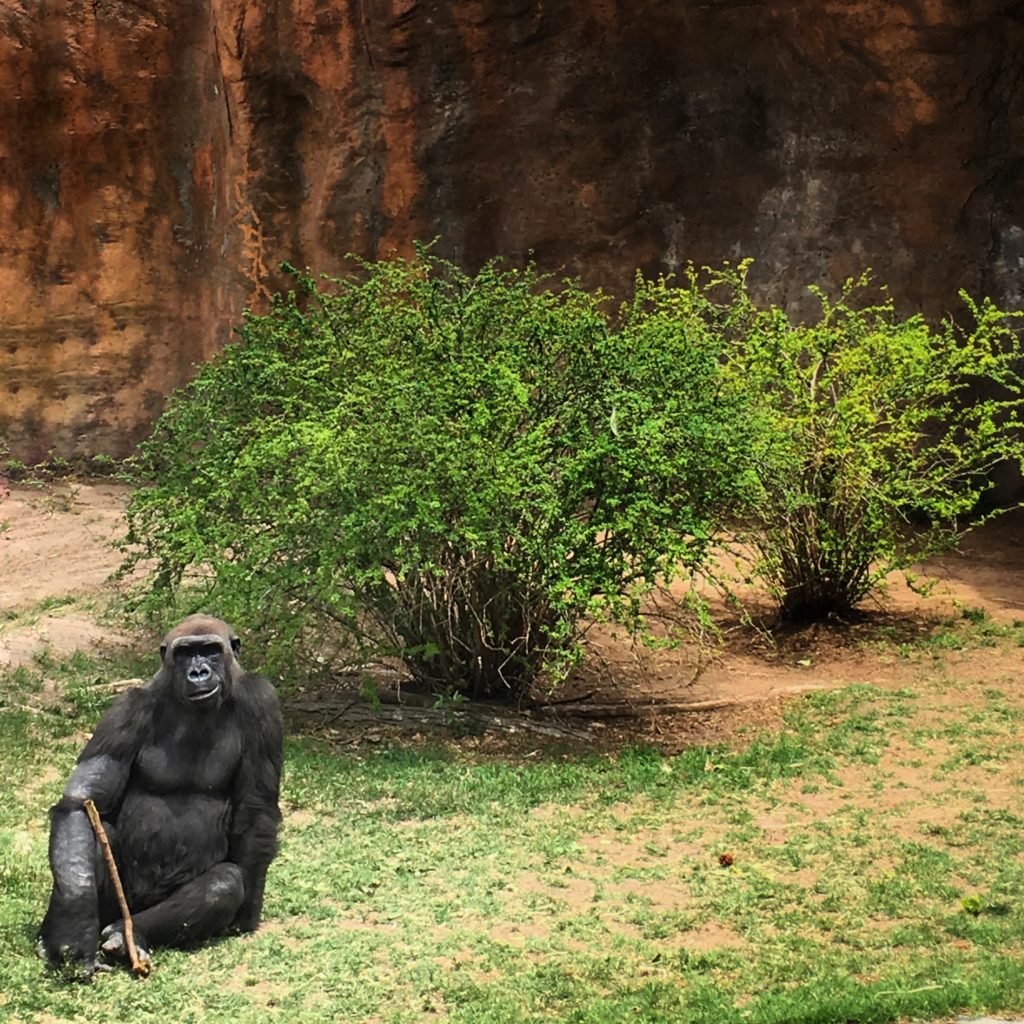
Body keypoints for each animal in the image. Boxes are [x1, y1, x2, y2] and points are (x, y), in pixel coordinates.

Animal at [37, 614, 282, 974]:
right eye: (184, 654)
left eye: (211, 651)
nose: (198, 672)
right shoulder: (127, 708)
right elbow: (83, 801)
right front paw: (74, 926)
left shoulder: (263, 702)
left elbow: (256, 808)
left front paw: (247, 912)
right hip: (120, 902)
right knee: (95, 832)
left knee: (223, 883)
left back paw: (129, 934)